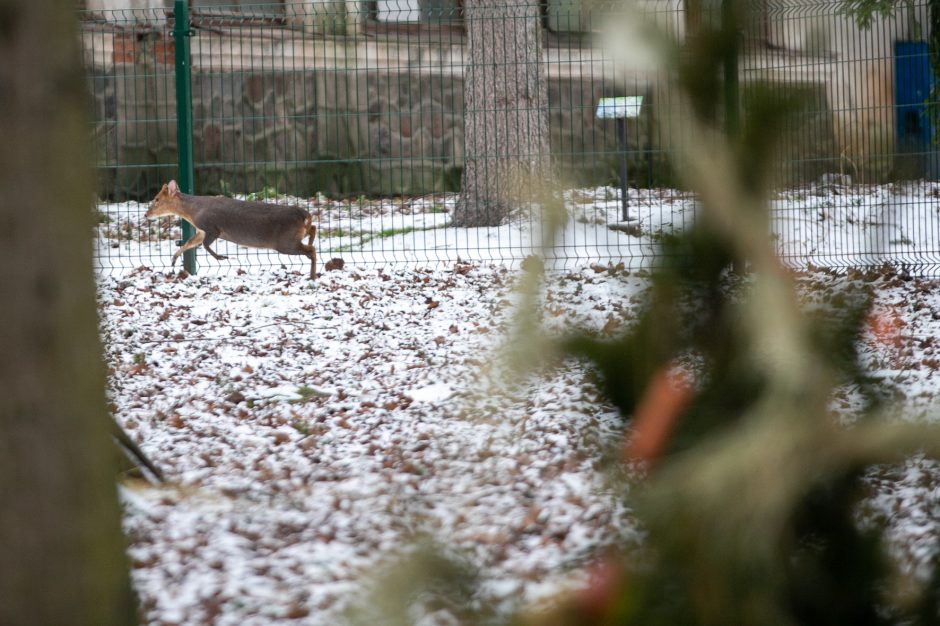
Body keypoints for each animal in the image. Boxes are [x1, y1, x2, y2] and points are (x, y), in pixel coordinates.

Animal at [145, 180, 318, 278]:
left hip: (285, 242)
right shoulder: (202, 230)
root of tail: (303, 214)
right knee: (313, 230)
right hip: (293, 237)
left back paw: (312, 276)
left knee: (312, 249)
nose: (146, 214)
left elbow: (205, 245)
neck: (194, 212)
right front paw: (173, 259)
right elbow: (189, 243)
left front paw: (222, 257)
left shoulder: (211, 226)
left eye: (156, 199)